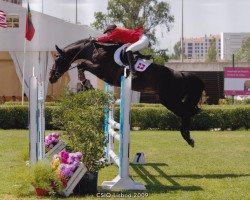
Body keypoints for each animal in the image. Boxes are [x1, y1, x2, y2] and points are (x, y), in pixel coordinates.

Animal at [49, 38, 204, 148]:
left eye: (57, 58)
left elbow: (82, 65)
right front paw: (85, 83)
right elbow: (82, 66)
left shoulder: (103, 71)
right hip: (171, 100)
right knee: (189, 111)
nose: (51, 77)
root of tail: (182, 75)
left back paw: (188, 138)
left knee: (186, 113)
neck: (96, 50)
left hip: (169, 100)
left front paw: (85, 82)